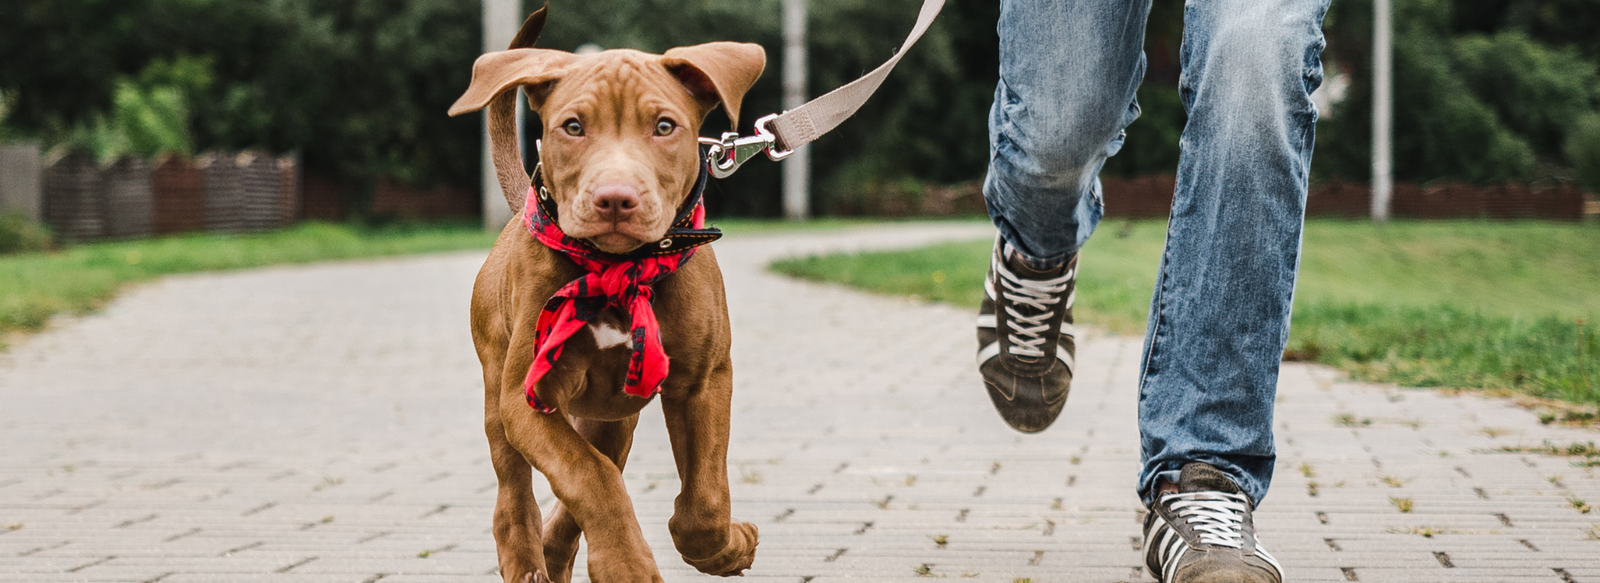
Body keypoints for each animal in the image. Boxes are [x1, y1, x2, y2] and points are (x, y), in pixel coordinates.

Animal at [448, 7, 771, 583]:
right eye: (573, 127)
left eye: (664, 126)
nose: (615, 198)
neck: (621, 267)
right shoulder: (527, 399)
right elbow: (589, 478)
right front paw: (627, 563)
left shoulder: (704, 382)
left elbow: (704, 500)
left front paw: (728, 548)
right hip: (497, 389)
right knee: (516, 492)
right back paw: (526, 560)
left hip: (613, 416)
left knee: (590, 478)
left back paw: (553, 559)